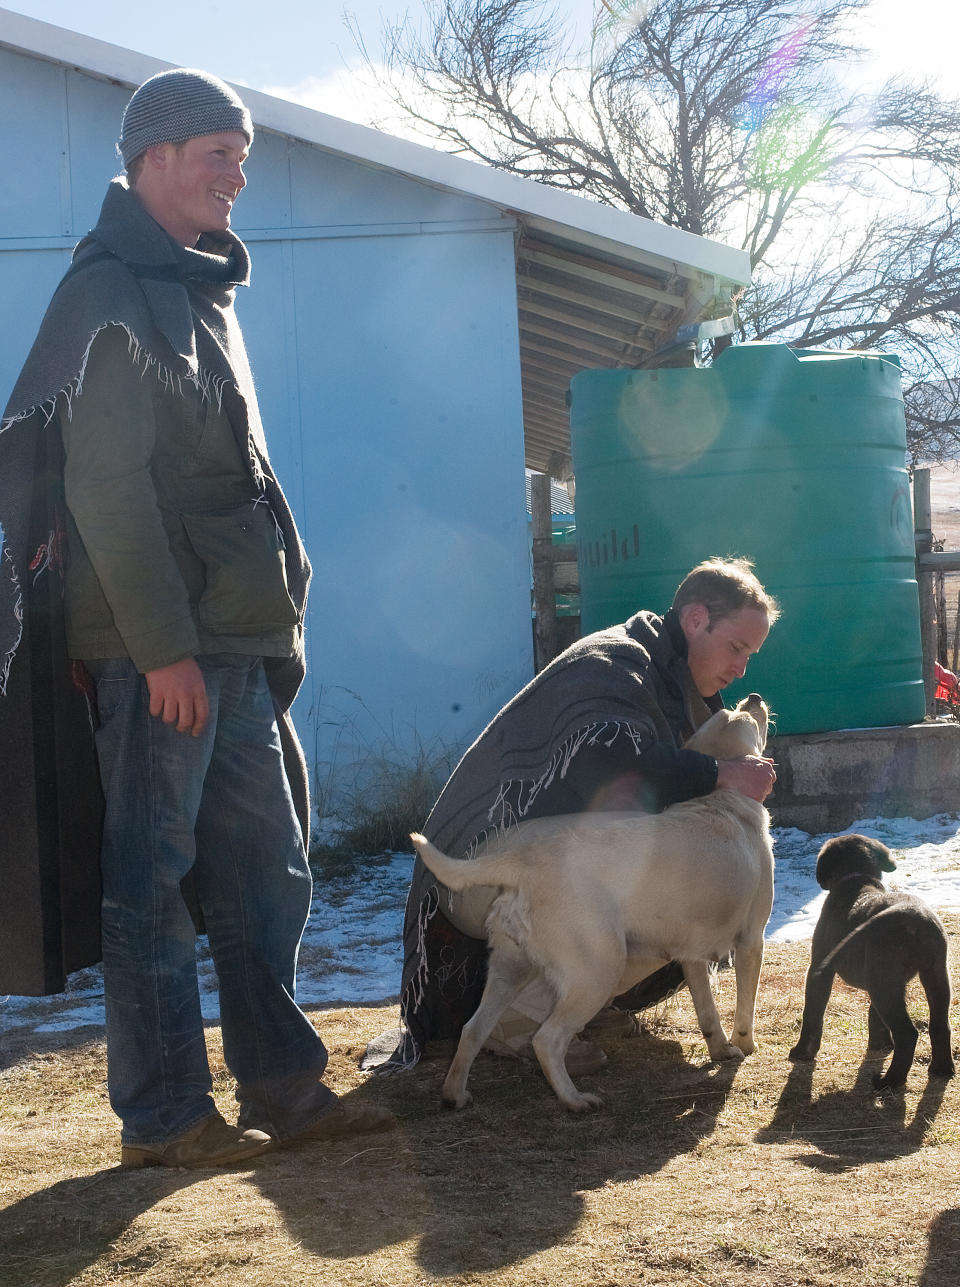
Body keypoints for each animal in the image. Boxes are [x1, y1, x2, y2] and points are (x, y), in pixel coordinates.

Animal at [411, 689, 772, 1111]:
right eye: (741, 714)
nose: (754, 696)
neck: (718, 798)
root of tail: (522, 863)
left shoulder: (691, 956)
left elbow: (708, 1013)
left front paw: (721, 1051)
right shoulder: (751, 940)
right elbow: (745, 1008)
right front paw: (745, 1046)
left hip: (509, 970)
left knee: (472, 1030)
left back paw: (455, 1094)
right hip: (599, 969)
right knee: (546, 1039)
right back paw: (575, 1100)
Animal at [787, 833, 952, 1086]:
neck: (856, 877)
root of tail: (911, 916)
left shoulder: (819, 969)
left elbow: (813, 1013)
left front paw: (802, 1052)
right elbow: (874, 1015)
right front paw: (880, 1045)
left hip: (884, 984)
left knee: (907, 1033)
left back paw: (890, 1080)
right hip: (934, 975)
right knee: (940, 1026)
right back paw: (941, 1069)